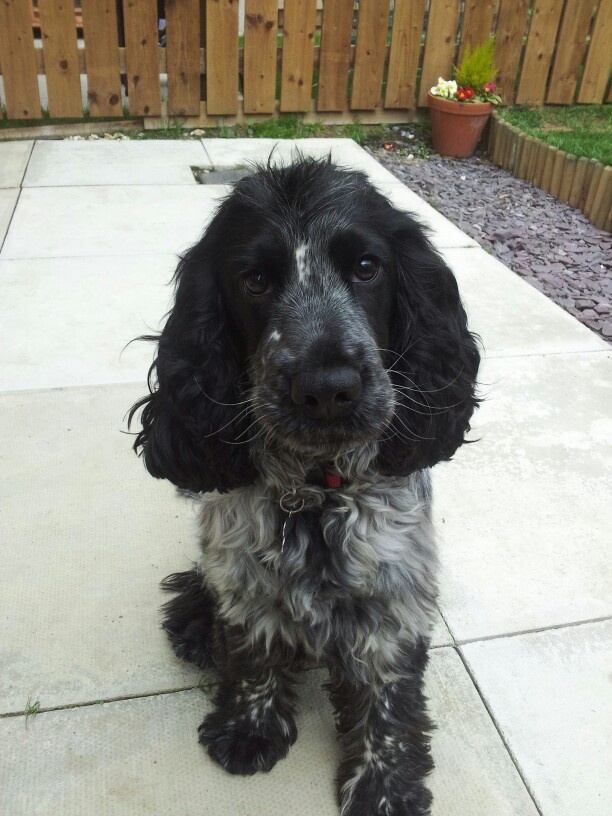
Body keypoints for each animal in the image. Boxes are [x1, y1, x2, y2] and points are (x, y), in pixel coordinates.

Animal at [130, 156, 482, 812]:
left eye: (366, 267)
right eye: (255, 281)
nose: (326, 388)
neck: (320, 491)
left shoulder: (393, 601)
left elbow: (386, 701)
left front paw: (385, 787)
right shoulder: (243, 582)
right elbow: (251, 658)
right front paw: (247, 732)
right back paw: (193, 629)